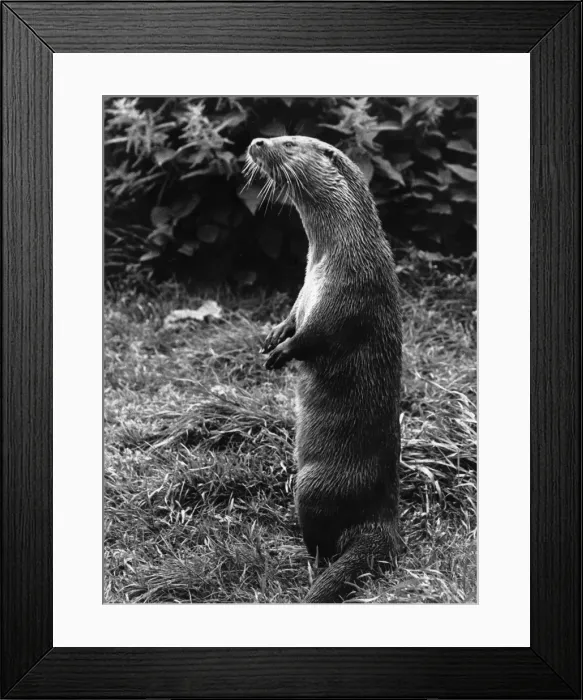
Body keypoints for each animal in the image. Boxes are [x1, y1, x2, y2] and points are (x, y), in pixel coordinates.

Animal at [245, 135, 402, 603]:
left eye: (289, 142)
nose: (257, 141)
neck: (330, 257)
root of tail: (382, 520)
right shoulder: (304, 288)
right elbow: (293, 316)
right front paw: (273, 335)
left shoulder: (348, 293)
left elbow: (317, 336)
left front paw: (282, 353)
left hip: (314, 485)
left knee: (323, 542)